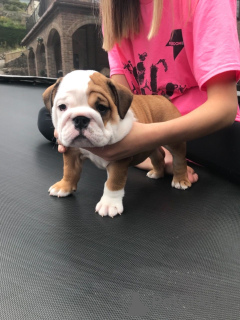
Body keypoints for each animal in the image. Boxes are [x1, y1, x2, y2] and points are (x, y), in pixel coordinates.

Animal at [42, 70, 190, 218]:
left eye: (101, 108)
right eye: (62, 107)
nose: (80, 119)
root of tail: (164, 98)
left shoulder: (119, 157)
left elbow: (113, 182)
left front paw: (109, 204)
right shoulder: (71, 152)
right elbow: (69, 170)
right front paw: (64, 187)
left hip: (174, 140)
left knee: (179, 159)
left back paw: (180, 180)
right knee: (158, 154)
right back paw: (157, 173)